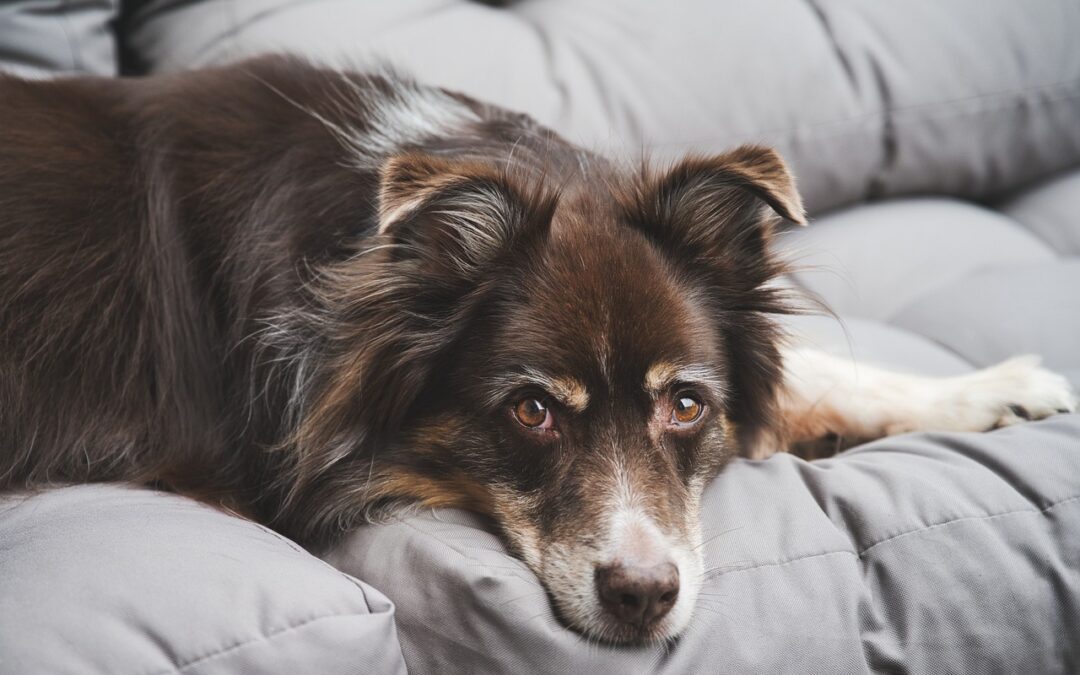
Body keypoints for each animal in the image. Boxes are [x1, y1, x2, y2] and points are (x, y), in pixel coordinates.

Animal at [4, 56, 1075, 643]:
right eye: (531, 410)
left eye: (687, 403)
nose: (644, 598)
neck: (364, 256)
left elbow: (806, 370)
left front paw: (993, 390)